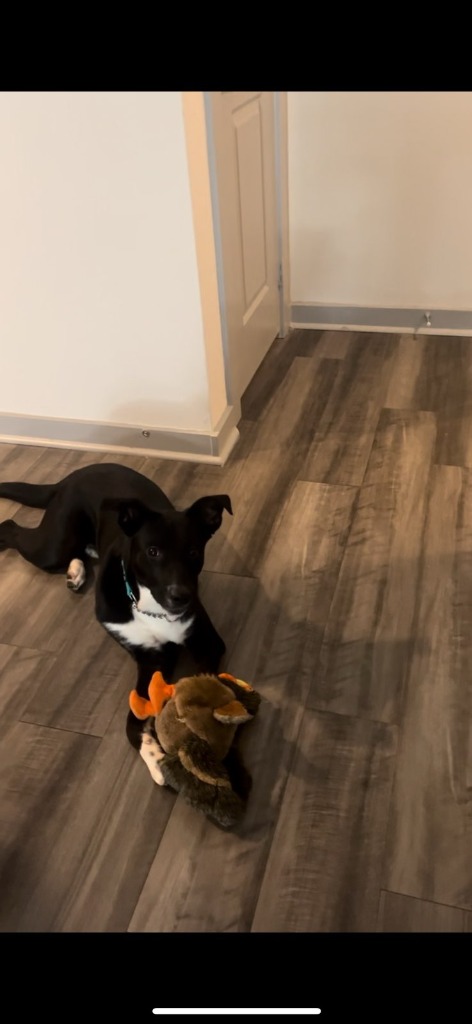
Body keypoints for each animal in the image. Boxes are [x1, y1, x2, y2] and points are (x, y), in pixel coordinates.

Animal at [0, 462, 232, 783]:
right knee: (11, 527)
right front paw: (154, 757)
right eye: (152, 551)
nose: (181, 597)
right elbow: (132, 721)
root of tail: (76, 474)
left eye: (194, 552)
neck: (150, 607)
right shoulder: (149, 659)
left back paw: (77, 570)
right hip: (52, 546)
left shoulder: (205, 643)